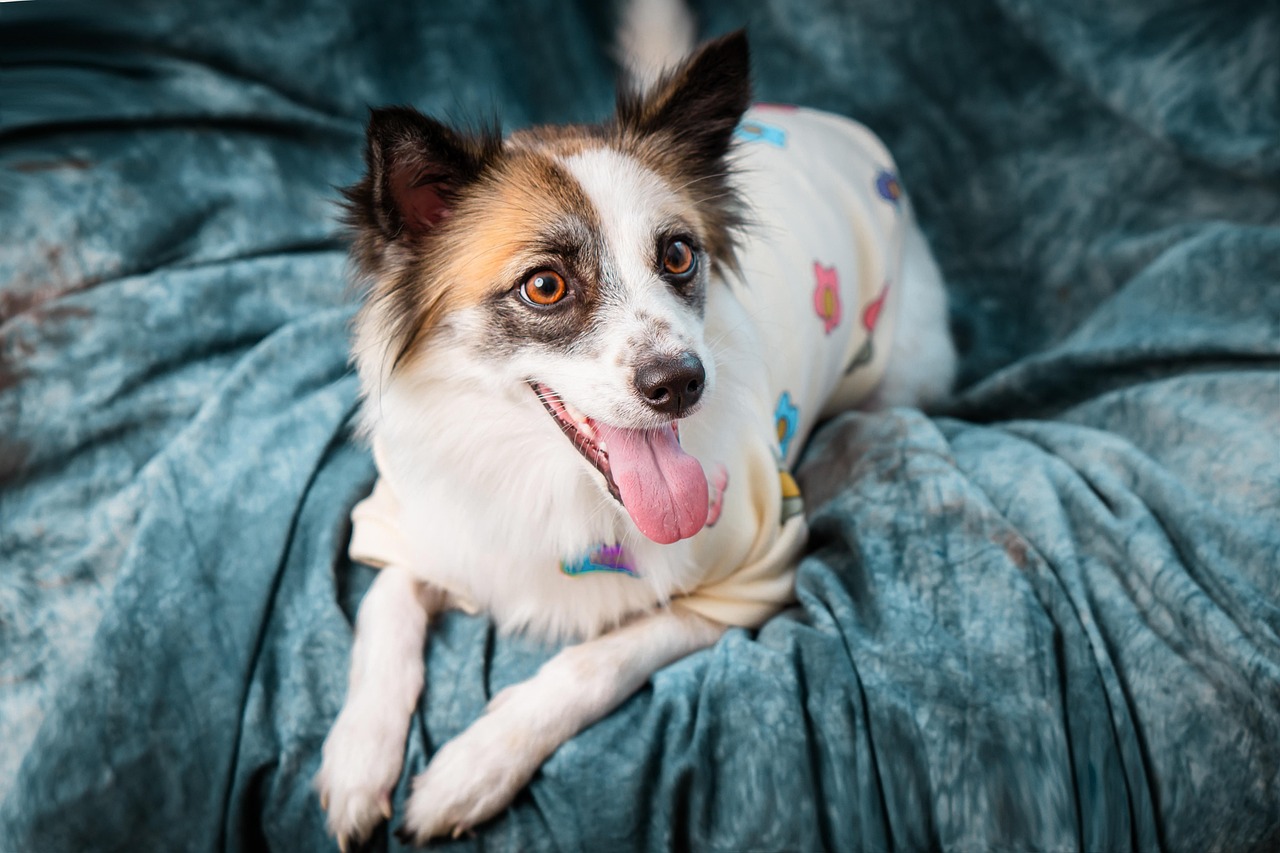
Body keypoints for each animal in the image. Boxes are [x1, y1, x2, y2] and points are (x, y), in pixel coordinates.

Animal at [315, 4, 956, 847]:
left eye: (678, 254)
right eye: (545, 286)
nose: (682, 382)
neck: (552, 480)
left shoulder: (754, 577)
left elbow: (597, 659)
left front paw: (473, 767)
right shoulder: (412, 519)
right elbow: (384, 607)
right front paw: (357, 758)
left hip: (906, 371)